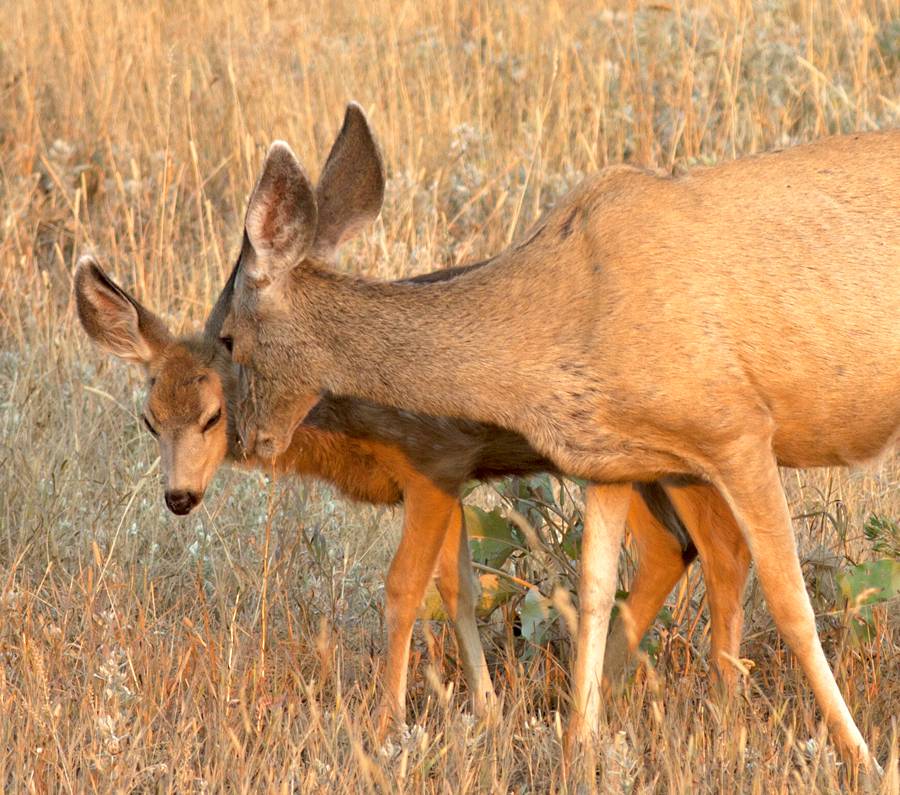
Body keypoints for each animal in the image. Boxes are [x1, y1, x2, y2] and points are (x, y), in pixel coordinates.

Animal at [74, 255, 752, 732]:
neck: (339, 408)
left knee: (719, 550)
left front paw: (388, 723)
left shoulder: (433, 461)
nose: (179, 497)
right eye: (149, 419)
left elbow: (403, 589)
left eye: (214, 415)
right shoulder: (444, 482)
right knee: (676, 549)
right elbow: (458, 589)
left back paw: (720, 715)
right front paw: (486, 710)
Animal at [220, 102, 900, 768]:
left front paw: (859, 755)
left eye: (225, 338)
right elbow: (595, 594)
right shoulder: (612, 458)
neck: (557, 323)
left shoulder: (738, 427)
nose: (252, 438)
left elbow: (791, 601)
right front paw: (579, 744)